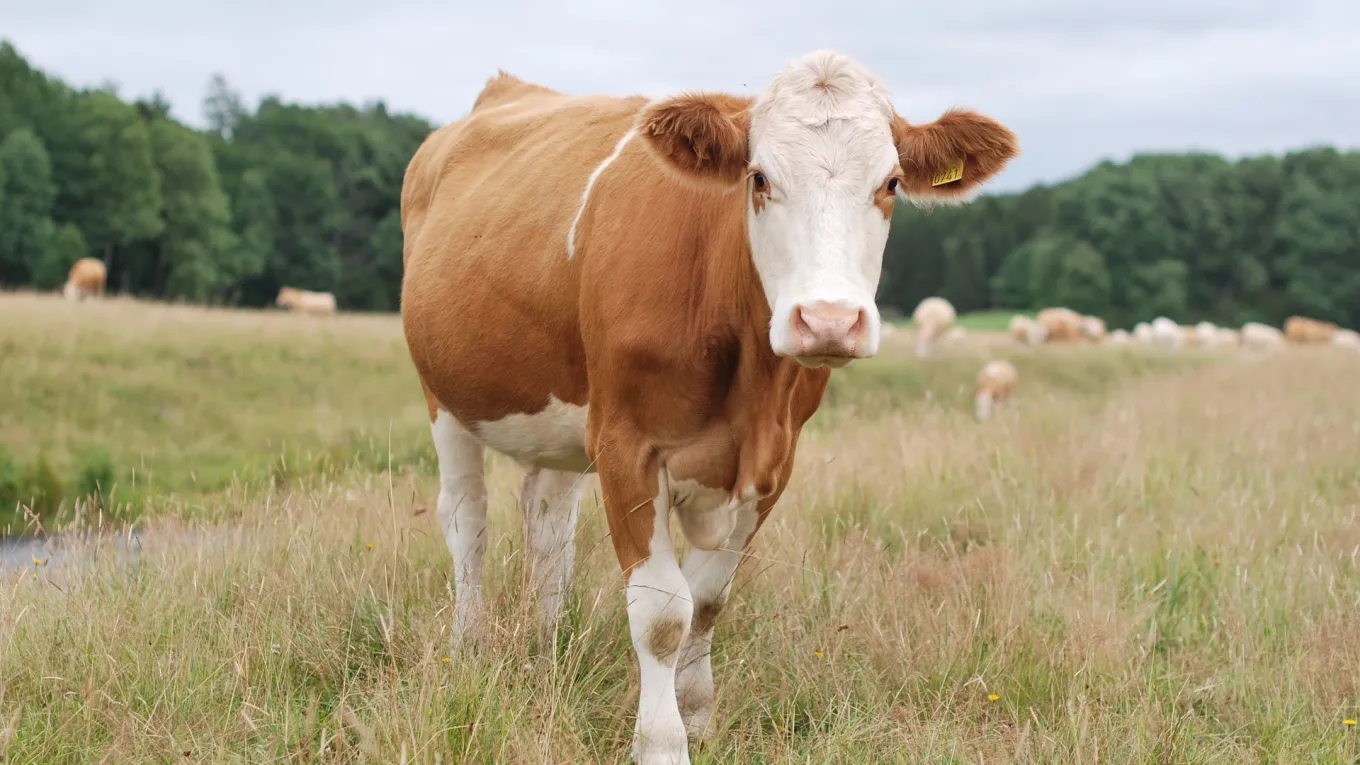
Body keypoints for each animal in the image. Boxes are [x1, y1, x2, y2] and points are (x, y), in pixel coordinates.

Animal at [398, 50, 1018, 764]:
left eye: (890, 183)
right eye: (759, 178)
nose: (828, 321)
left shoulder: (776, 459)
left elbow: (708, 597)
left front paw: (696, 715)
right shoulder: (627, 447)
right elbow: (664, 613)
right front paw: (663, 743)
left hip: (560, 416)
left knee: (548, 522)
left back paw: (545, 652)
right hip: (444, 397)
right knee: (466, 520)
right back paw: (467, 648)